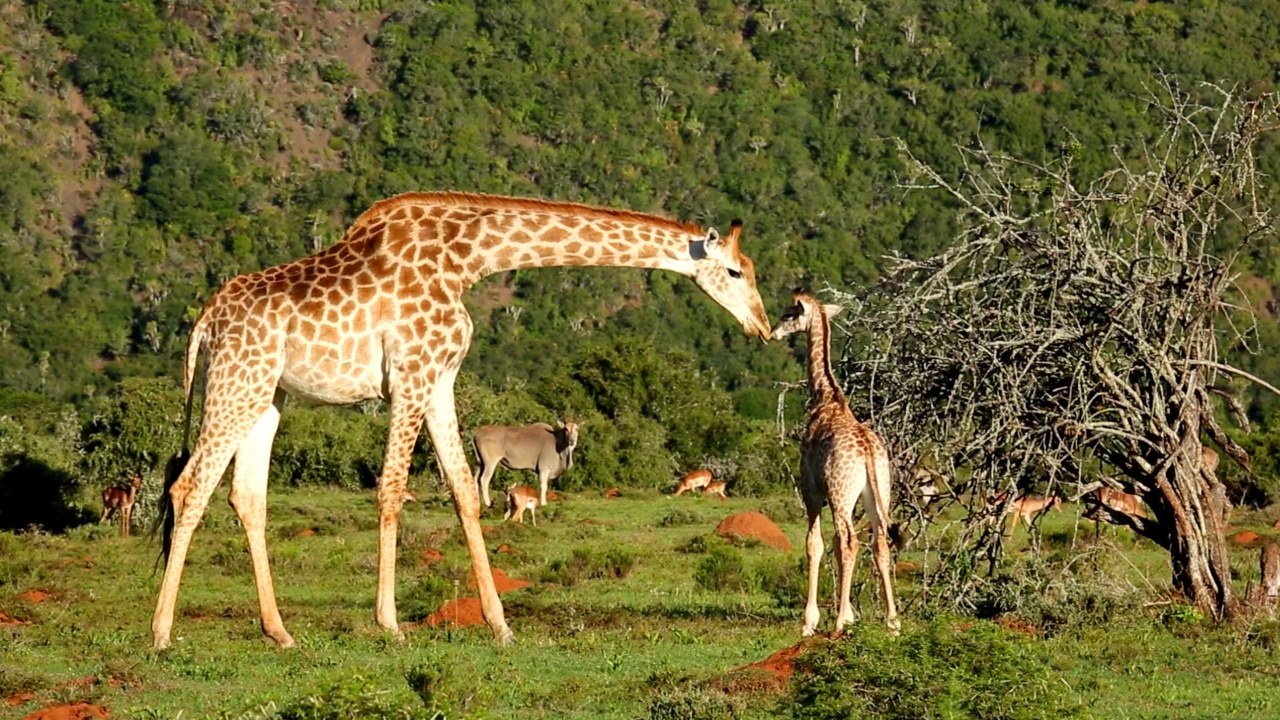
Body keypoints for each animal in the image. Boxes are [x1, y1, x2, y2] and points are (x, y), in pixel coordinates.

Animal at [149, 189, 768, 645]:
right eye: (737, 272)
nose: (761, 327)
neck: (466, 258)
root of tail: (205, 319)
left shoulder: (441, 378)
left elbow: (467, 492)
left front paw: (501, 625)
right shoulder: (411, 373)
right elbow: (392, 488)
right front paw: (390, 625)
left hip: (267, 396)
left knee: (245, 496)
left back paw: (279, 633)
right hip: (237, 382)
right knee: (189, 487)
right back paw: (160, 632)